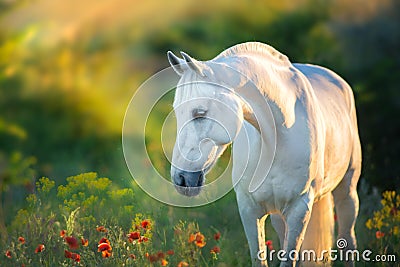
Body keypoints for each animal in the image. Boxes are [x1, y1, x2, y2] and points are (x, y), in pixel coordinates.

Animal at [167, 43, 360, 266]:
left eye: (200, 113)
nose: (180, 179)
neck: (276, 136)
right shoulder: (250, 210)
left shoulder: (299, 209)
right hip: (279, 216)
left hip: (347, 193)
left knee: (347, 240)